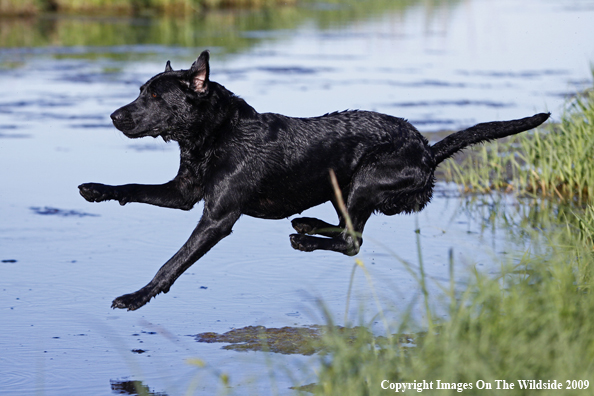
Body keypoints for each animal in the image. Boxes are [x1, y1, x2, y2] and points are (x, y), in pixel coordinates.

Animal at [77, 50, 544, 310]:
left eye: (156, 96)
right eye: (141, 90)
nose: (114, 116)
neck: (214, 135)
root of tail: (428, 150)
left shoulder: (217, 218)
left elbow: (172, 263)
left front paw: (137, 297)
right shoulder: (184, 194)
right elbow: (132, 189)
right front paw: (95, 190)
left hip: (367, 178)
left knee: (353, 240)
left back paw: (304, 237)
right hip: (344, 186)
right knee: (348, 228)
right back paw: (306, 224)